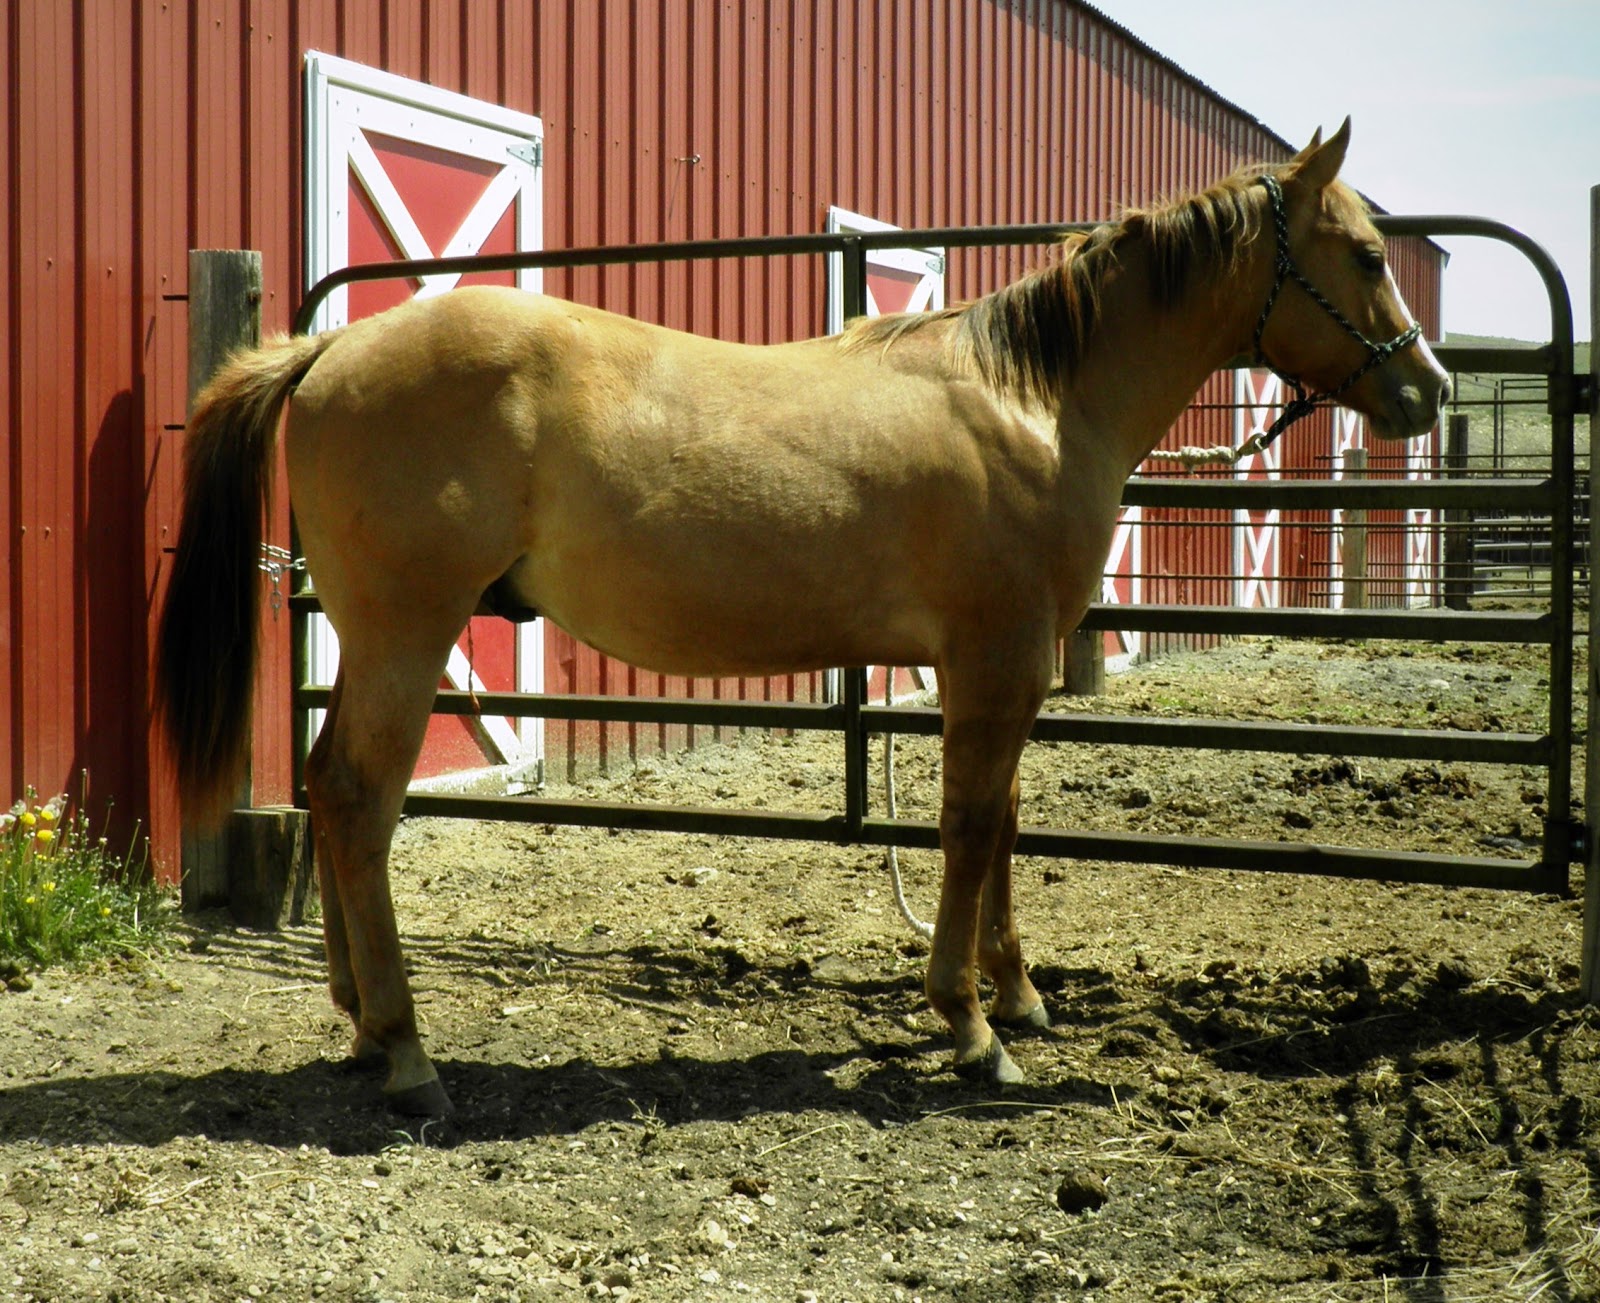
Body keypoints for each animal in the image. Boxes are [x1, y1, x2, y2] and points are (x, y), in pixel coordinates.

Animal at [157, 119, 1448, 1115]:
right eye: (1365, 253)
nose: (1426, 390)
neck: (1033, 401)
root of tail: (333, 344)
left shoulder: (1008, 667)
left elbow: (1005, 823)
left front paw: (1018, 991)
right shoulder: (992, 659)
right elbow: (970, 827)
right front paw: (971, 1027)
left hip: (375, 636)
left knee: (329, 787)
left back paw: (360, 1024)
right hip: (407, 630)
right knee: (359, 798)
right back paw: (408, 1049)